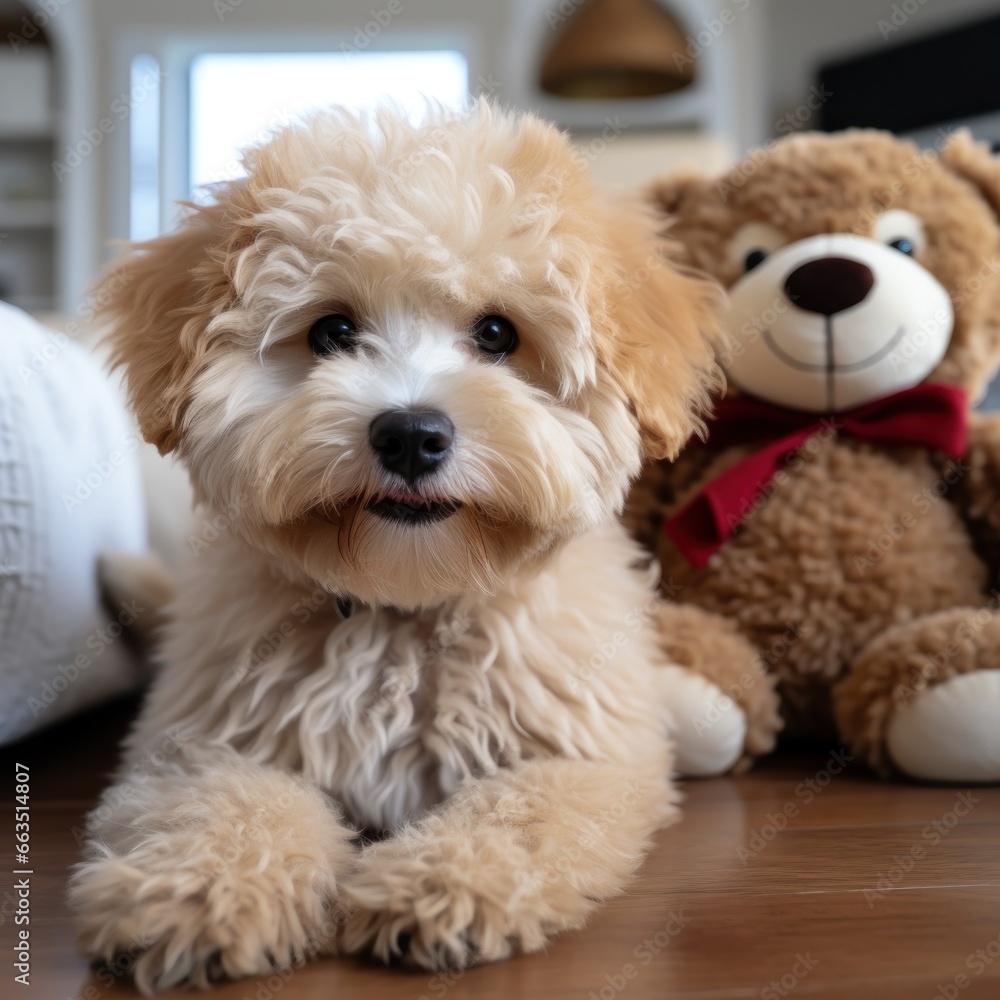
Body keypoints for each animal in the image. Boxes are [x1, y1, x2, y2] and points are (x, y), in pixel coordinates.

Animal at [72, 101, 720, 992]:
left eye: (497, 334)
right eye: (333, 331)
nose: (411, 434)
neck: (403, 609)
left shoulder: (585, 756)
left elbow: (523, 812)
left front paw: (445, 883)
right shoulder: (205, 742)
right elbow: (224, 803)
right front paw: (195, 891)